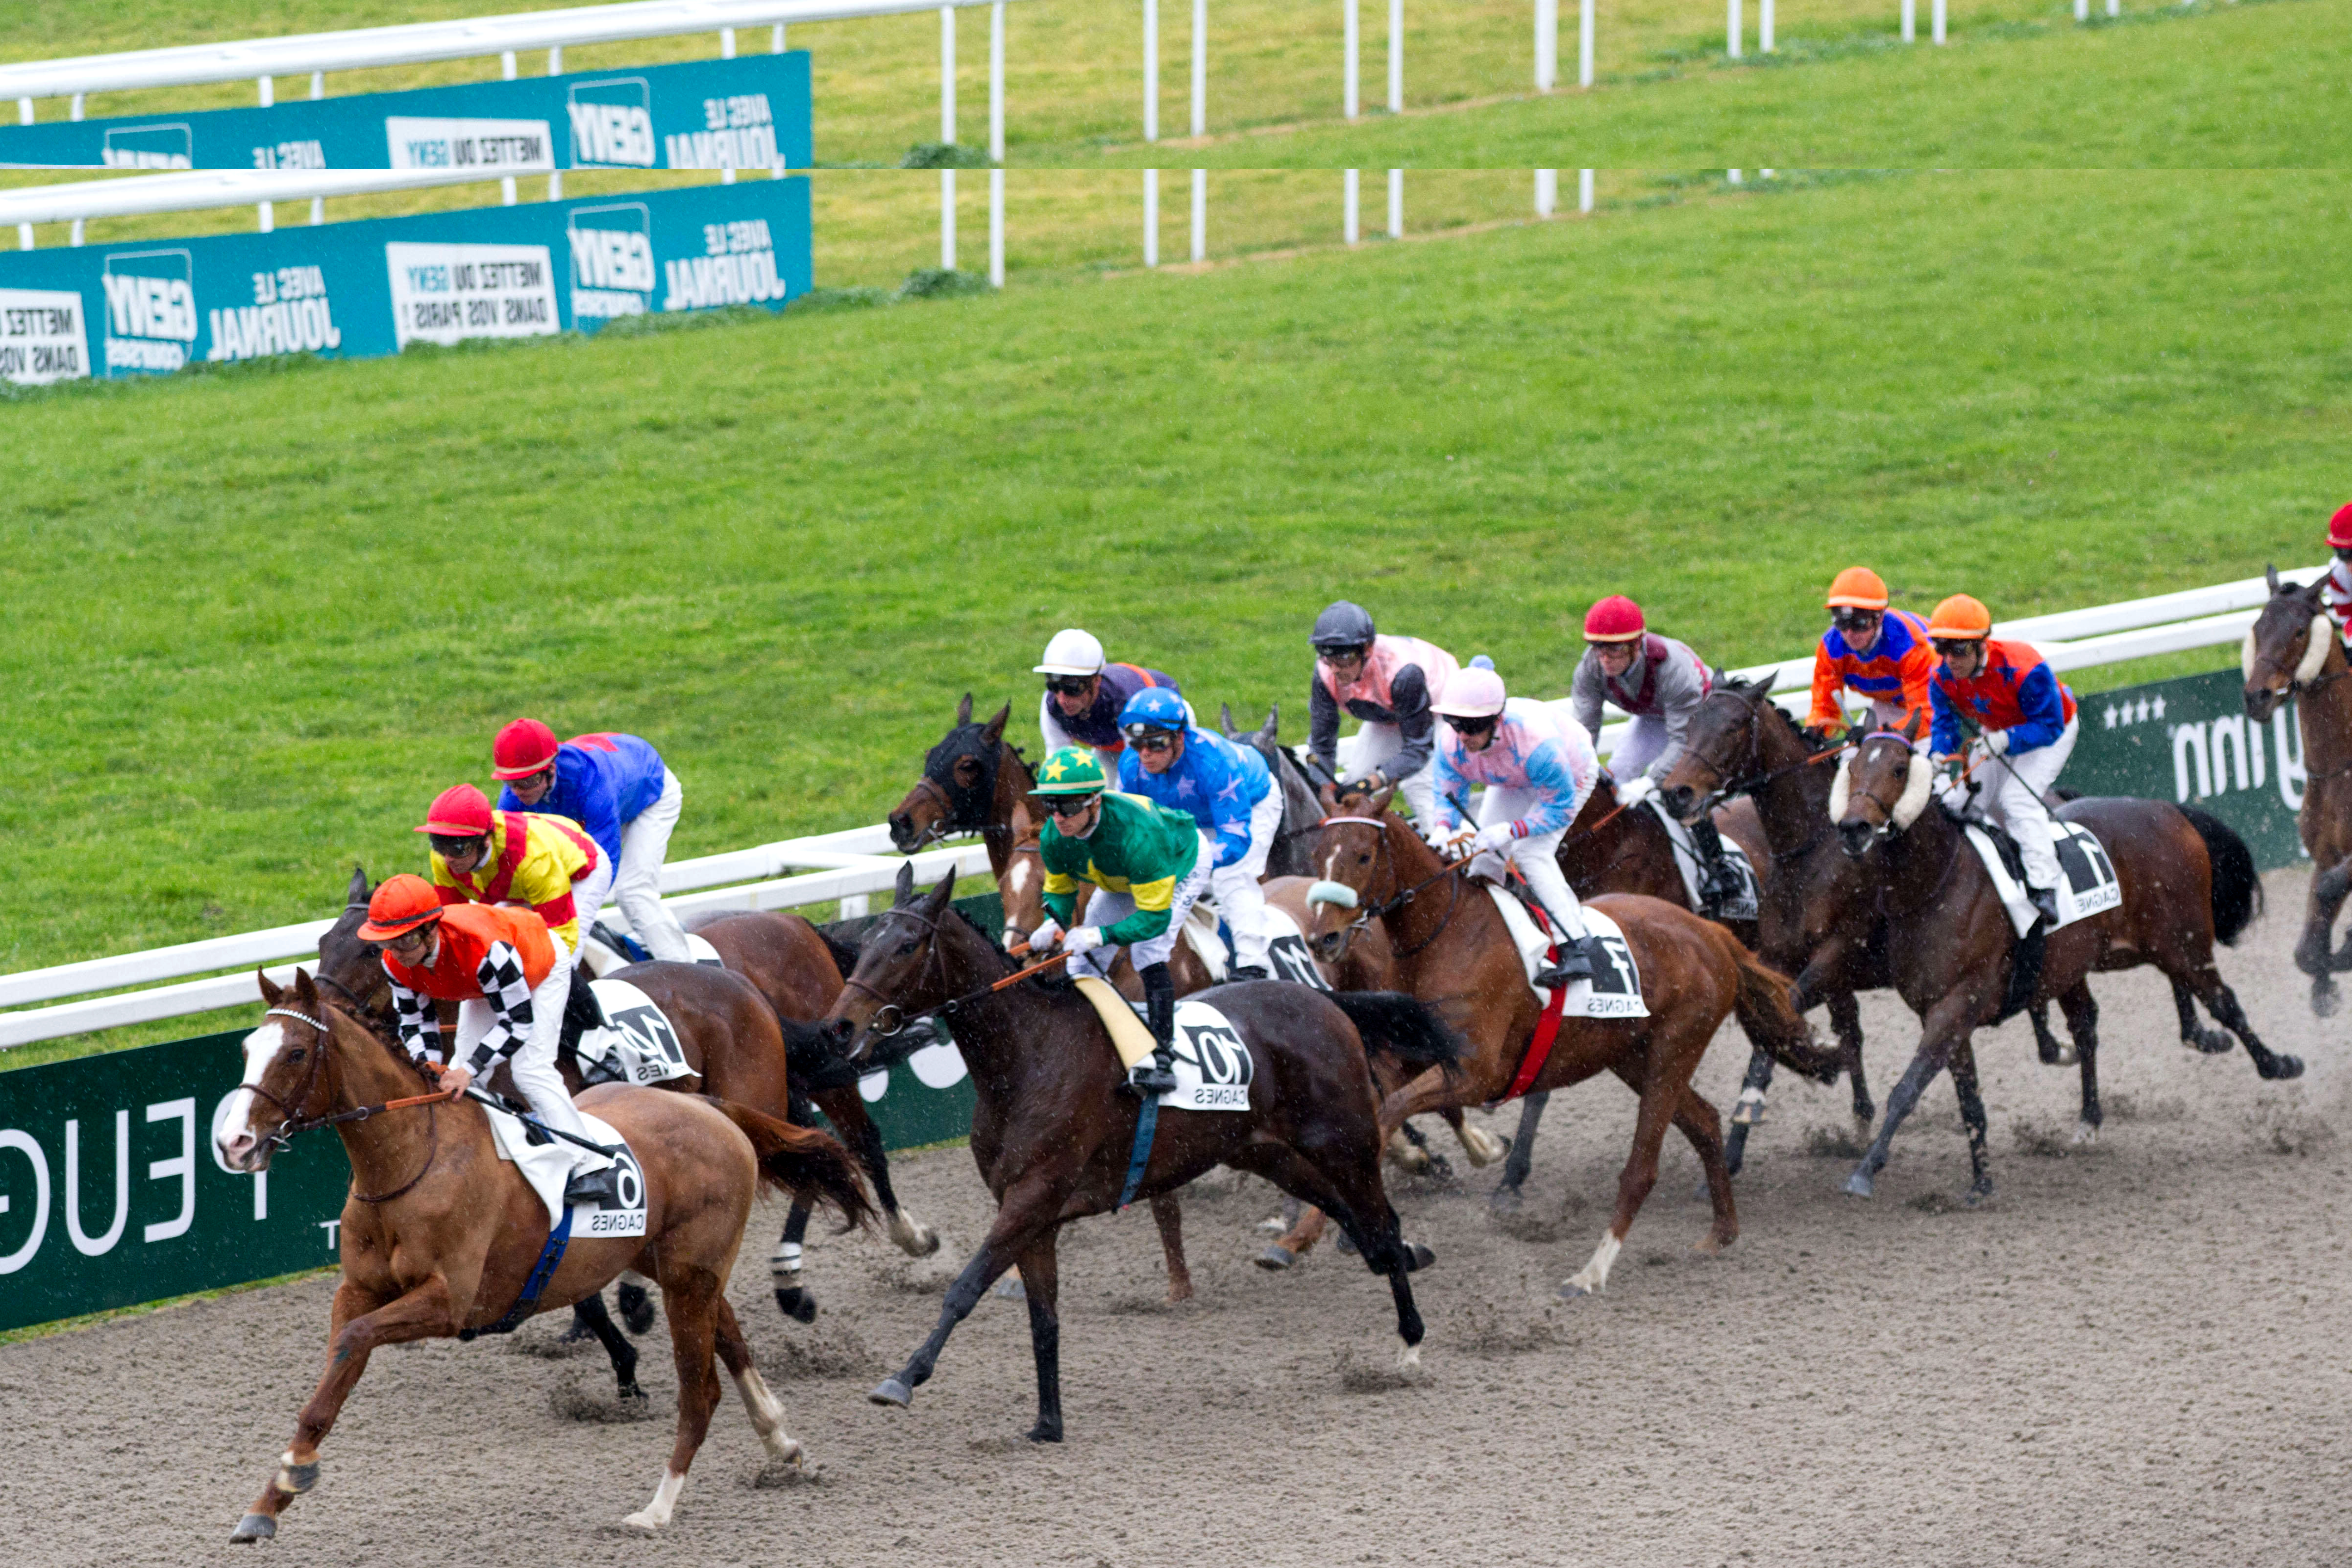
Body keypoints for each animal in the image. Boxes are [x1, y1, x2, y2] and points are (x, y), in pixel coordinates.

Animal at [214, 973, 865, 1542]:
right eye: (245, 1048)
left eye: (296, 1052)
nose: (233, 1143)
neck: (413, 1160)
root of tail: (711, 1106)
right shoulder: (358, 1290)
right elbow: (331, 1381)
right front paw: (270, 1501)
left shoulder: (450, 1301)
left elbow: (354, 1341)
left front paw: (293, 1473)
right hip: (674, 1265)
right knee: (729, 1335)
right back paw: (782, 1443)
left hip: (690, 1272)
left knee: (700, 1391)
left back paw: (656, 1510)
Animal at [823, 865, 1449, 1439]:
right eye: (864, 943)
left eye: (907, 945)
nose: (839, 1025)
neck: (1029, 1056)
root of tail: (1326, 1001)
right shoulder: (1033, 1214)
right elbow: (1043, 1318)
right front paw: (1048, 1422)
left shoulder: (1032, 1196)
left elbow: (965, 1288)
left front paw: (903, 1378)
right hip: (1271, 1154)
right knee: (1356, 1220)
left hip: (1346, 1142)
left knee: (1382, 1223)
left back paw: (1411, 1344)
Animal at [1279, 785, 1844, 1298]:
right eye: (1318, 856)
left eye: (1362, 855)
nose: (1323, 939)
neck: (1448, 937)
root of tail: (1712, 935)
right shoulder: (1409, 1057)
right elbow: (1374, 1116)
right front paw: (1304, 1234)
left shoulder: (1478, 1073)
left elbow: (1392, 1110)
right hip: (1632, 1056)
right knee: (1704, 1122)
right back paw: (1721, 1233)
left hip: (1674, 1048)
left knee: (1642, 1167)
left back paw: (1591, 1273)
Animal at [1825, 719, 2286, 1213]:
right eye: (1851, 767)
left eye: (1897, 768)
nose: (1853, 828)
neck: (1937, 885)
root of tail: (2167, 808)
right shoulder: (1941, 1012)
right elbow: (1969, 1100)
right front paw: (1982, 1182)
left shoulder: (1957, 1004)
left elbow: (1908, 1089)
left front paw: (1864, 1172)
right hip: (2108, 954)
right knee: (2093, 1021)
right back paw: (2097, 1113)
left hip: (2184, 940)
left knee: (2224, 1000)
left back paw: (2277, 1063)